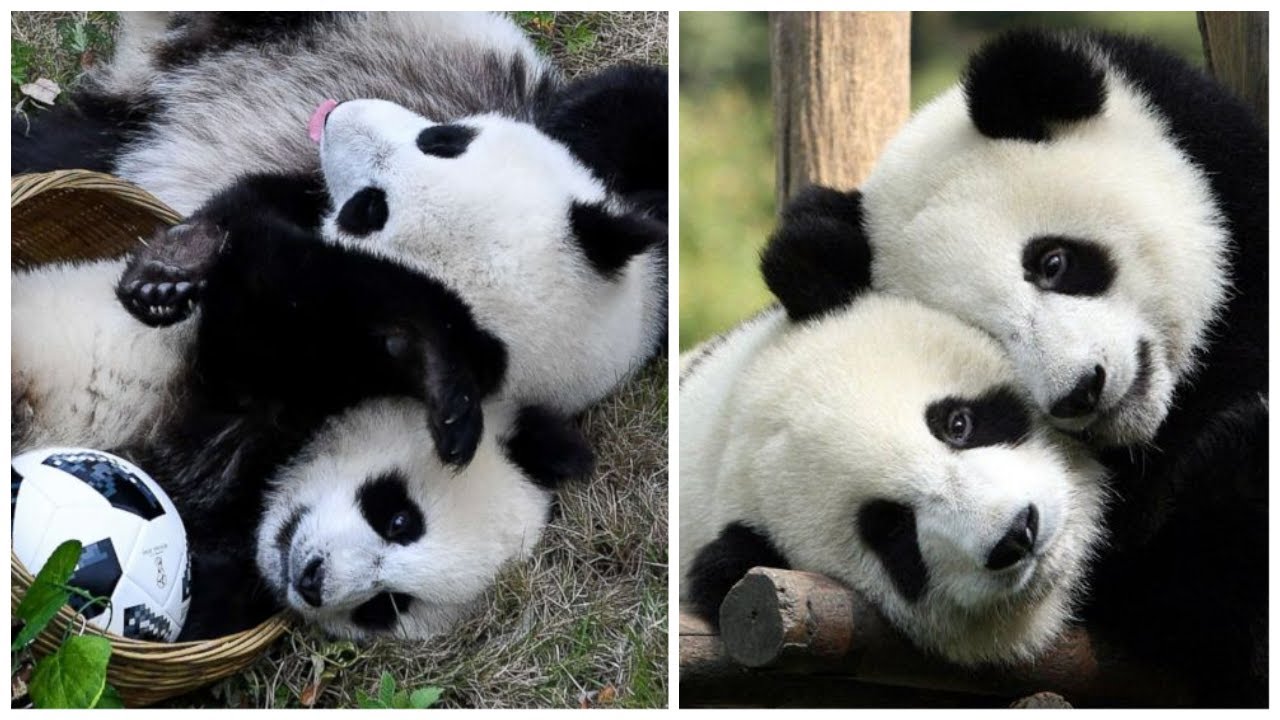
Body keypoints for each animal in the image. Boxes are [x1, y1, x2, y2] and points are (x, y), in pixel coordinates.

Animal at [13, 11, 669, 414]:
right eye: (445, 139)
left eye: (366, 211)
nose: (335, 115)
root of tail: (156, 77)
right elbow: (626, 103)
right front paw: (175, 265)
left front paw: (171, 277)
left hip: (104, 138)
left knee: (56, 147)